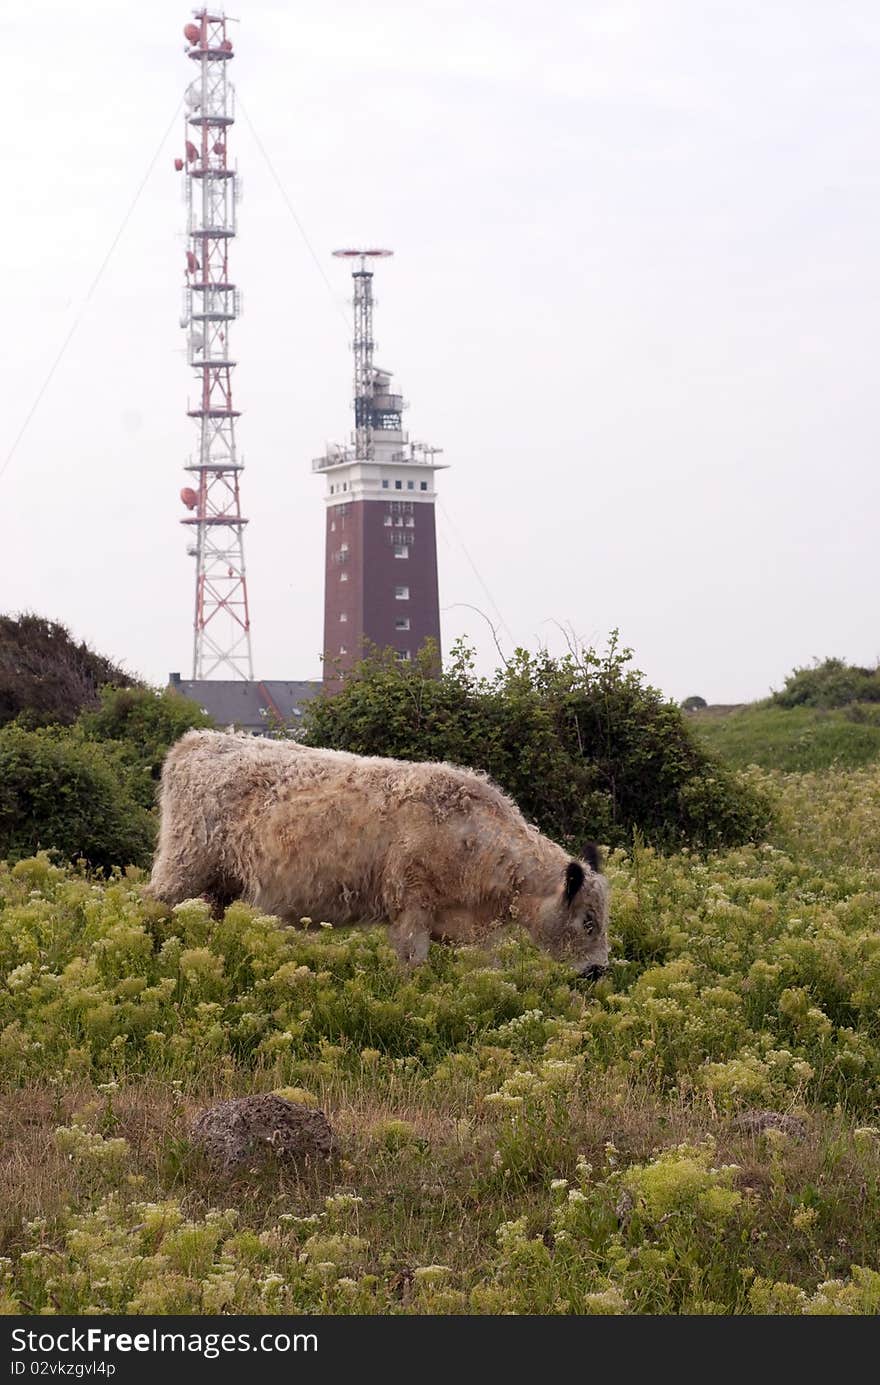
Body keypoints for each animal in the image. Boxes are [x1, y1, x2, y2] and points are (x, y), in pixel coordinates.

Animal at [146, 731, 612, 980]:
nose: (598, 972)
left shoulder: (465, 929)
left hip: (219, 888)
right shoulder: (411, 908)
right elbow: (413, 967)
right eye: (588, 921)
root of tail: (200, 739)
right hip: (182, 868)